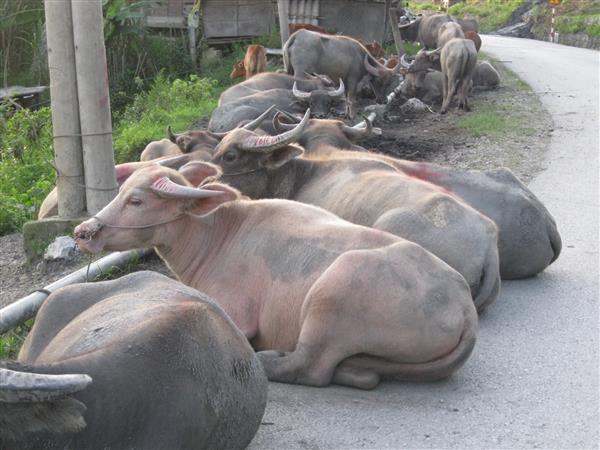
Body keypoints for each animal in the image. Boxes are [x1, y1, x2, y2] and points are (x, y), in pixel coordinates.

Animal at [75, 159, 478, 390]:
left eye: (136, 200)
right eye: (123, 192)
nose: (83, 231)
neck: (217, 235)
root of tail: (463, 303)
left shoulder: (236, 314)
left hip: (331, 296)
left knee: (310, 367)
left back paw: (270, 360)